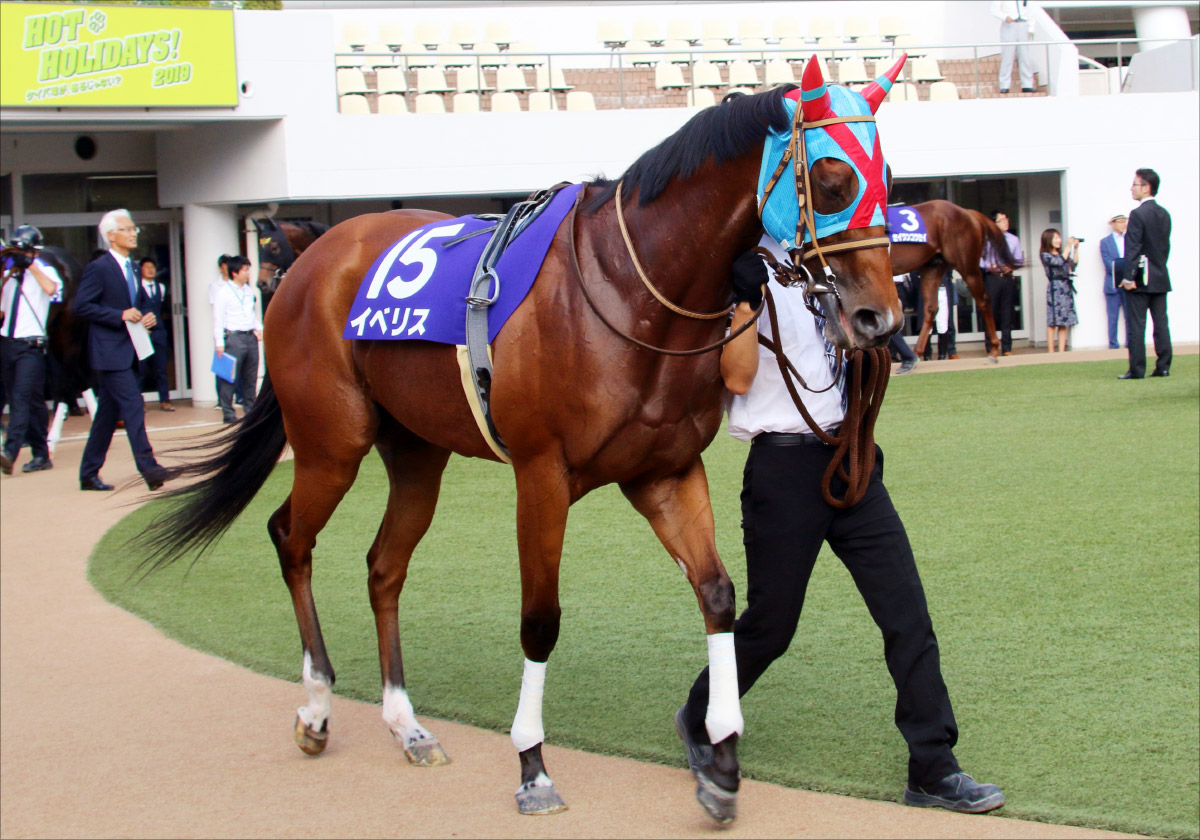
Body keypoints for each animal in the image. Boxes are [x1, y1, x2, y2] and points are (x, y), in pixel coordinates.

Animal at [139, 55, 906, 825]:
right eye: (834, 179)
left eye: (891, 179)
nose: (881, 318)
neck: (628, 289)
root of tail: (308, 261)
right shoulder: (541, 474)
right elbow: (541, 620)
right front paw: (532, 764)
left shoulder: (666, 470)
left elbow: (717, 593)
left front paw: (720, 759)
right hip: (333, 445)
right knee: (291, 538)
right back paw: (319, 707)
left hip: (416, 453)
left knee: (384, 566)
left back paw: (405, 723)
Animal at [888, 200, 1020, 362]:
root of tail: (969, 213)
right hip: (933, 267)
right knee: (931, 308)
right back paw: (917, 352)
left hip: (967, 267)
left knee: (983, 300)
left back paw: (994, 350)